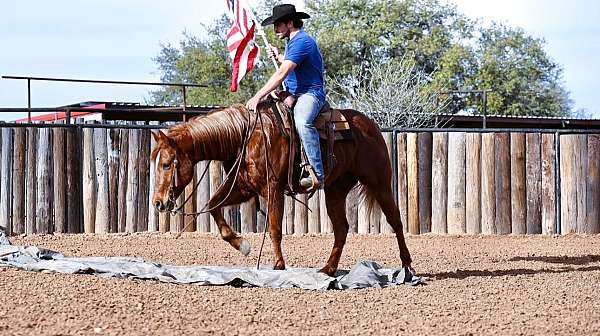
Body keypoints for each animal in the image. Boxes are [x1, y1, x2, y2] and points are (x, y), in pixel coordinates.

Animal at [150, 99, 412, 276]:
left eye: (166, 164)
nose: (158, 202)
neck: (245, 136)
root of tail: (369, 125)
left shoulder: (273, 189)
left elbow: (275, 228)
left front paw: (278, 264)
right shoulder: (244, 188)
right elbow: (213, 205)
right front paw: (242, 245)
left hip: (380, 183)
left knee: (396, 221)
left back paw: (407, 266)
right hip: (335, 190)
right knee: (341, 229)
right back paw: (327, 269)